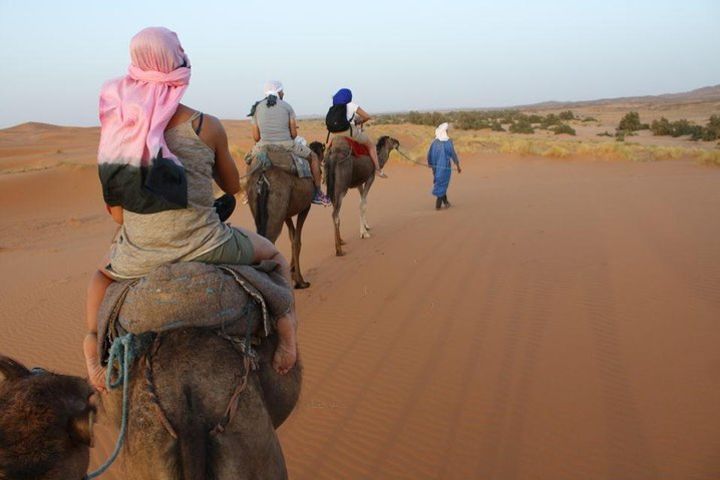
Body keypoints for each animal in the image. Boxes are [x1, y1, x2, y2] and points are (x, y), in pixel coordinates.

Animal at [249, 142, 324, 288]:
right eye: (322, 150)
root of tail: (263, 179)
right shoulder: (305, 207)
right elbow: (297, 241)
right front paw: (300, 281)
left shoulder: (286, 214)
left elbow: (291, 236)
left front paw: (292, 270)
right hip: (276, 210)